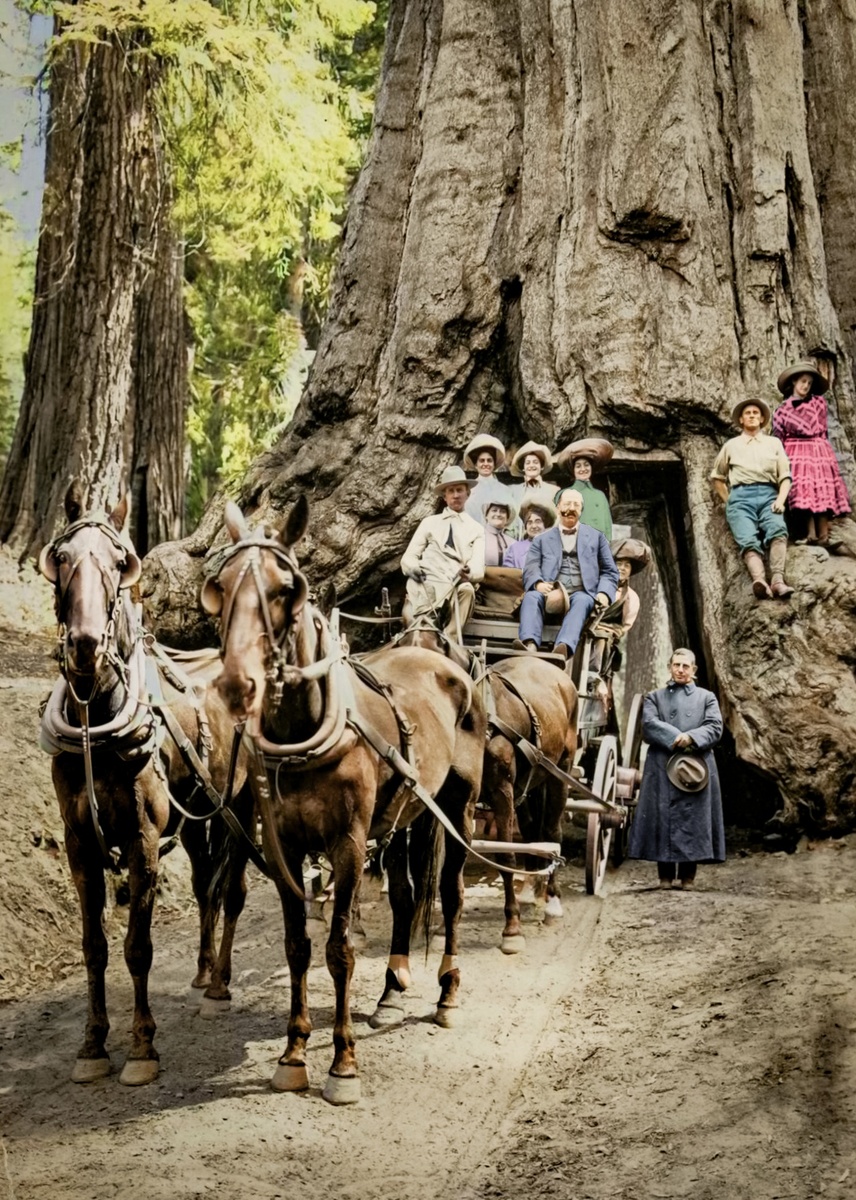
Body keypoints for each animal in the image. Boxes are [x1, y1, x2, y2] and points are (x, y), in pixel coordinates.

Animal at [38, 482, 252, 1084]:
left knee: (232, 893)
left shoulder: (142, 841)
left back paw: (219, 984)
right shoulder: (79, 845)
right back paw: (202, 971)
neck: (97, 722)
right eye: (61, 557)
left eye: (119, 563)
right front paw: (92, 1044)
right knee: (205, 887)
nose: (86, 644)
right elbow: (94, 946)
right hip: (201, 820)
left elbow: (138, 947)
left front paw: (141, 1047)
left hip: (244, 807)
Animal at [198, 496, 480, 1104]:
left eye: (286, 588)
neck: (303, 733)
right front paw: (294, 1052)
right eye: (221, 586)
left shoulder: (347, 844)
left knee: (450, 893)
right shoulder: (283, 846)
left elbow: (339, 949)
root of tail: (443, 656)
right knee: (407, 894)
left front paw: (343, 1062)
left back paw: (447, 993)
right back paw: (392, 990)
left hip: (459, 806)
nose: (235, 684)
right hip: (406, 816)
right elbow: (298, 946)